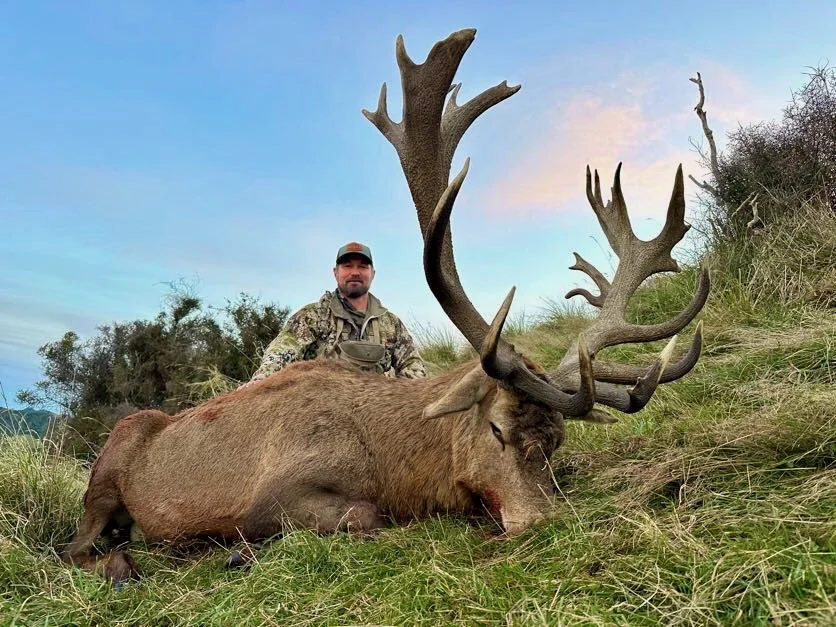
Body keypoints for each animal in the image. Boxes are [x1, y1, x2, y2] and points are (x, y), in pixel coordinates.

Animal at [62, 28, 709, 584]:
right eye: (496, 429)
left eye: (557, 444)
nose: (542, 525)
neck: (392, 463)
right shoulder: (272, 497)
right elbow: (364, 517)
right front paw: (235, 553)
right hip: (107, 470)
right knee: (77, 546)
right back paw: (126, 561)